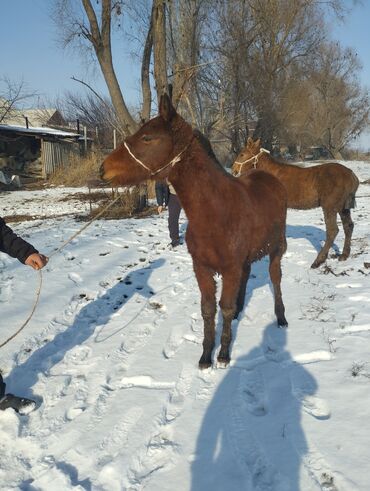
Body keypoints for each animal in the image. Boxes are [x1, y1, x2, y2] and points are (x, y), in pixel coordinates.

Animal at [99, 94, 288, 368]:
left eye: (147, 137)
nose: (103, 169)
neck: (216, 213)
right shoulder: (202, 268)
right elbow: (208, 309)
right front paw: (206, 356)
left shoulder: (229, 269)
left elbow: (224, 307)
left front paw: (223, 354)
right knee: (247, 275)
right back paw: (241, 310)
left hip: (277, 248)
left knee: (275, 278)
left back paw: (281, 317)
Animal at [233, 137, 360, 270]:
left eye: (242, 154)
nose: (234, 170)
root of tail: (352, 176)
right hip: (343, 208)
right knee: (348, 226)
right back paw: (344, 255)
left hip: (330, 206)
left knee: (332, 231)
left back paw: (318, 261)